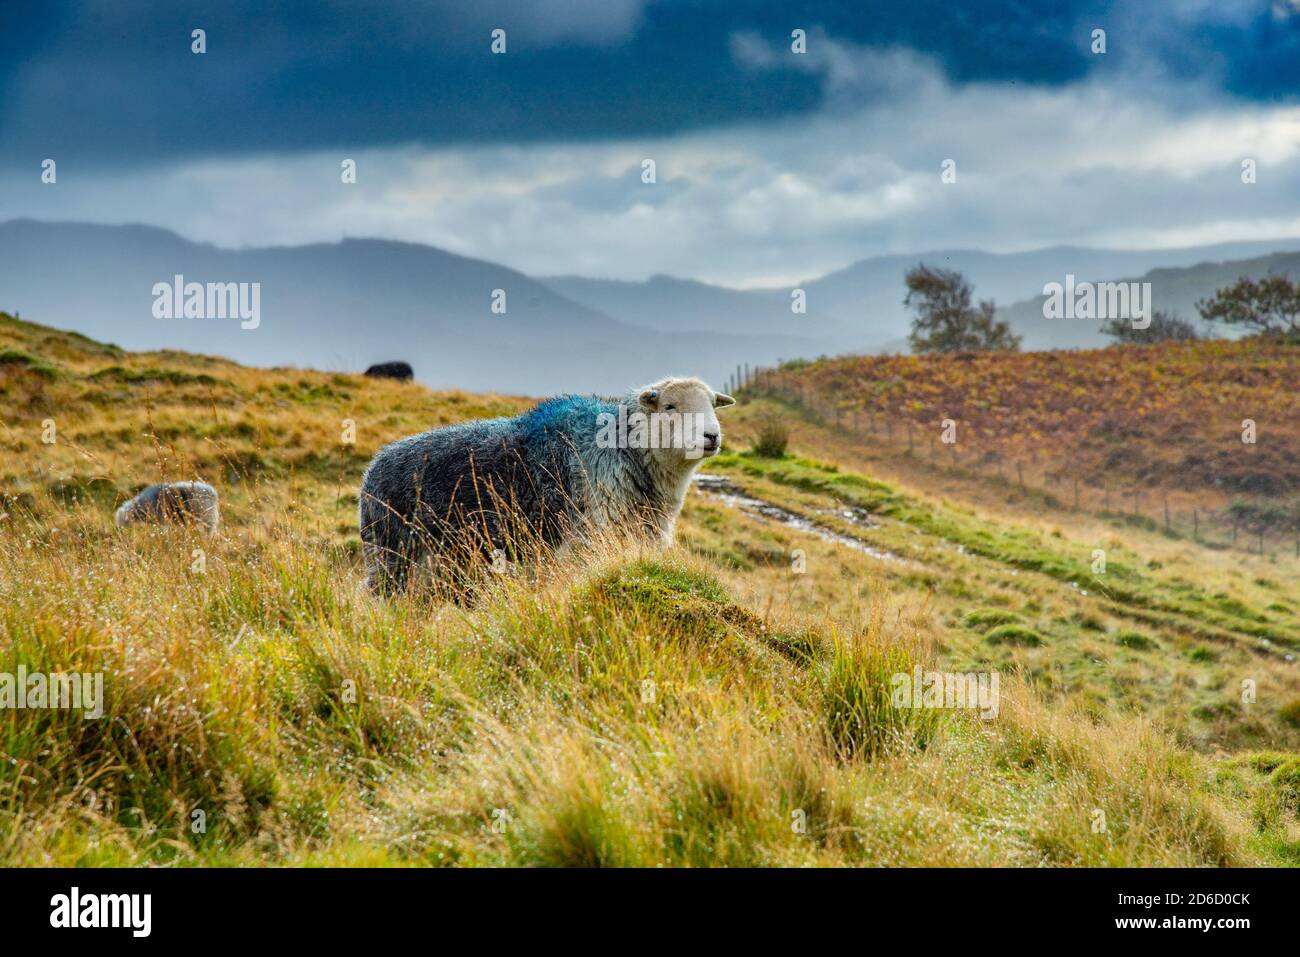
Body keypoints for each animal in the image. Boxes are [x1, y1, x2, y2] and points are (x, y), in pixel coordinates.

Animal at [361, 377, 738, 595]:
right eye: (670, 406)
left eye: (712, 406)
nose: (712, 436)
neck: (623, 448)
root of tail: (372, 468)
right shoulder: (585, 539)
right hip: (394, 554)